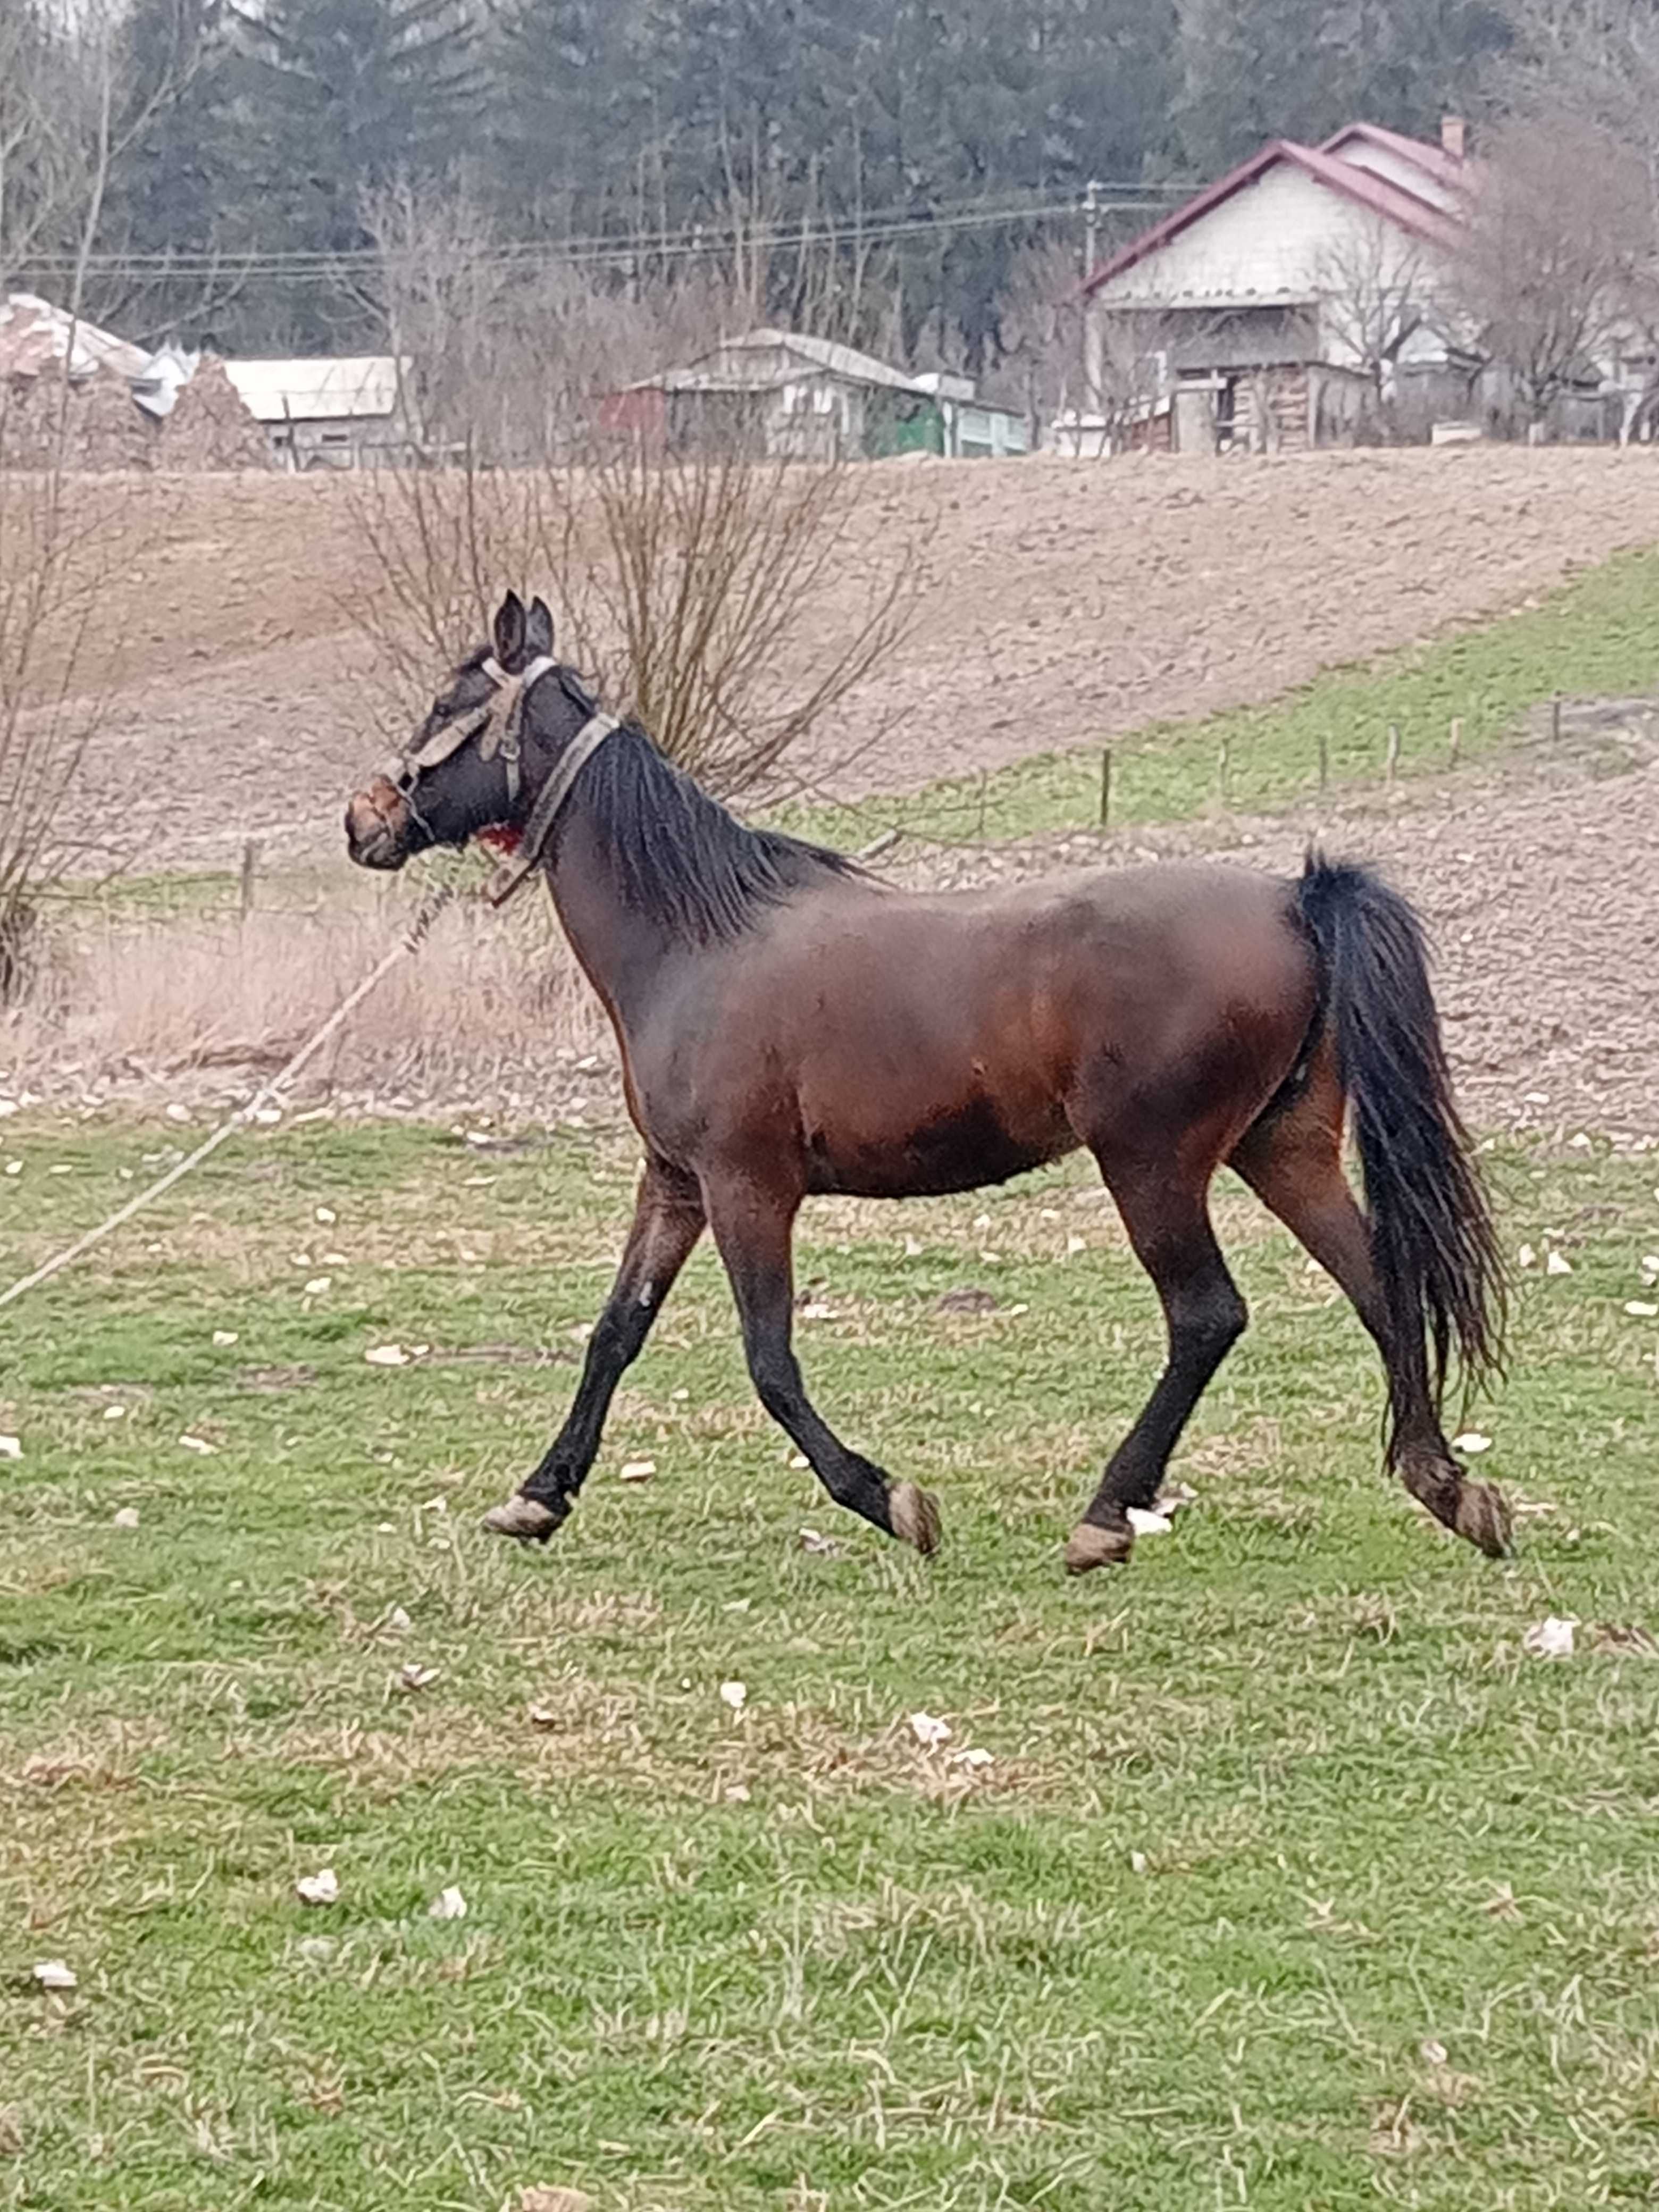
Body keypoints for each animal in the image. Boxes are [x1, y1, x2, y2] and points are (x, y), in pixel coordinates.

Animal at [345, 588, 1513, 1574]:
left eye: (448, 703)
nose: (365, 819)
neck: (698, 939)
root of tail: (1291, 899)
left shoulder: (747, 1188)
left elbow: (770, 1361)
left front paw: (889, 1498)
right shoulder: (675, 1183)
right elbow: (614, 1333)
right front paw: (539, 1496)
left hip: (1155, 1166)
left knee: (1207, 1317)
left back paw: (1105, 1515)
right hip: (1283, 1151)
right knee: (1380, 1287)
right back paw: (1446, 1486)